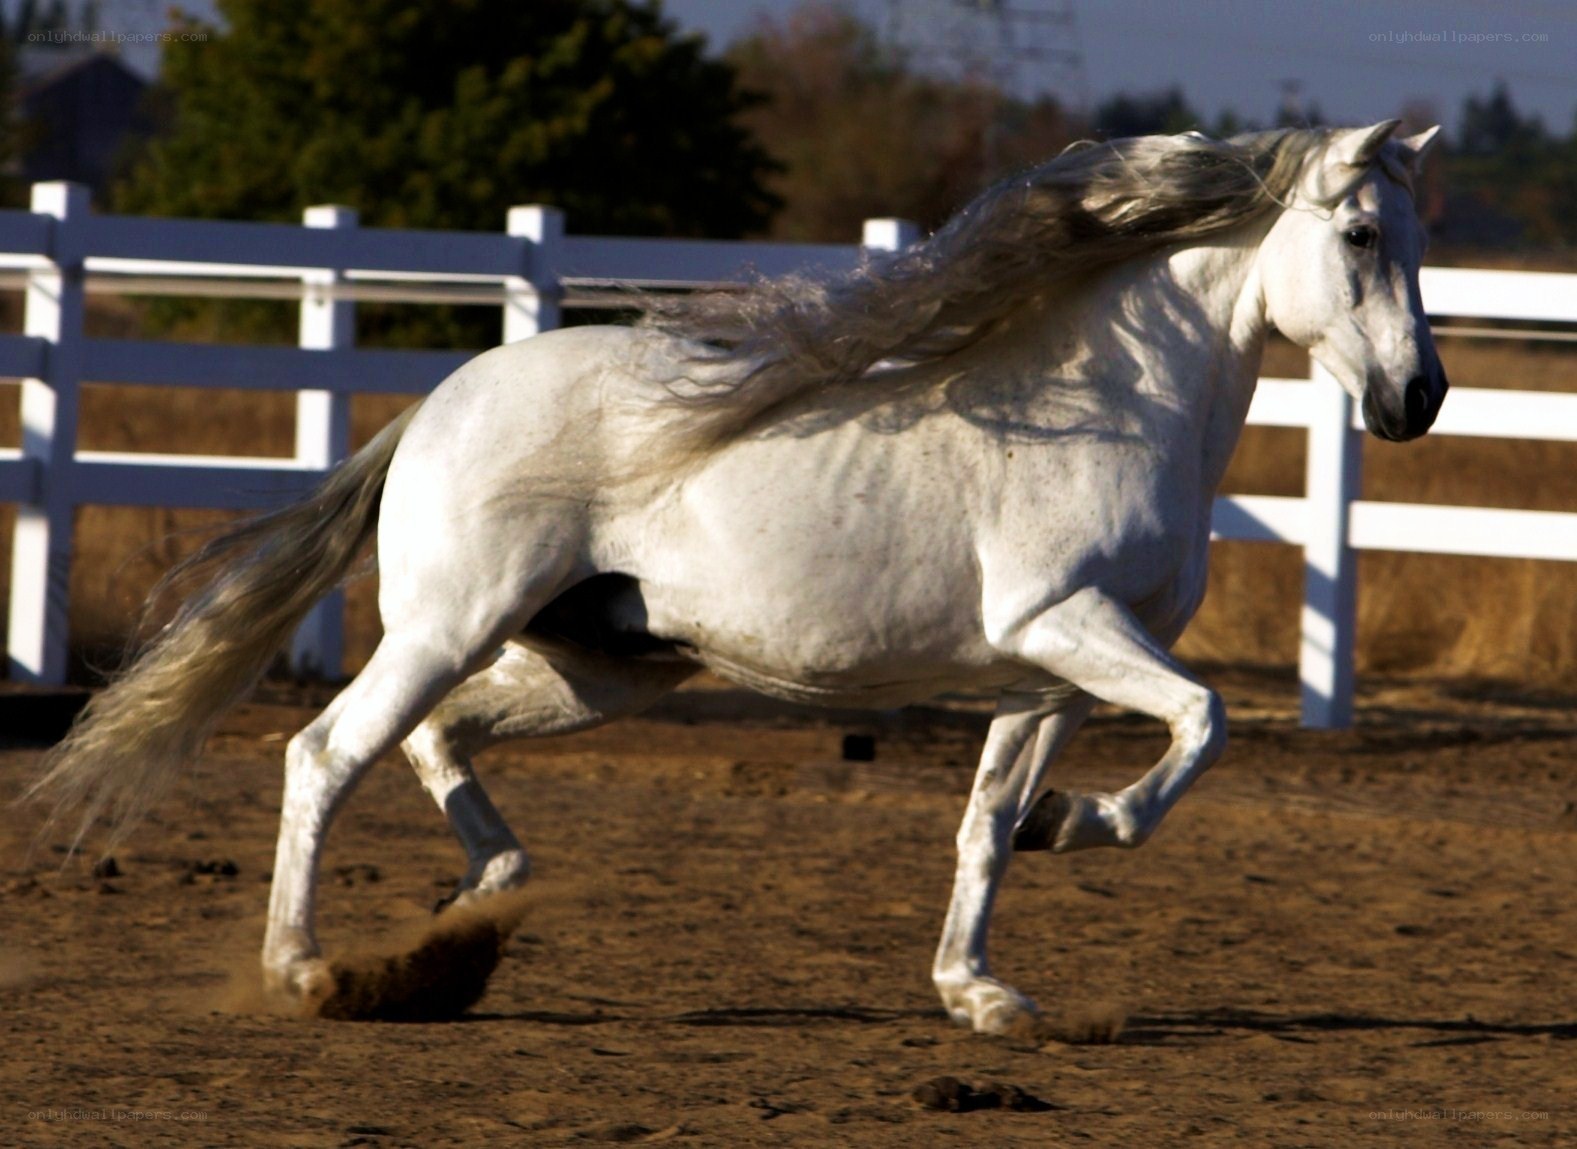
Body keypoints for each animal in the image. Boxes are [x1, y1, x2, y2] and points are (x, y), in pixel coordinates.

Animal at [29, 120, 1446, 1034]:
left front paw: (980, 988)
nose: (1416, 399)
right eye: (1361, 232)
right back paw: (308, 975)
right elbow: (1201, 724)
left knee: (438, 741)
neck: (1118, 405)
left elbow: (983, 826)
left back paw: (472, 915)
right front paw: (1079, 827)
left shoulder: (1043, 677)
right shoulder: (1068, 626)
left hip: (600, 668)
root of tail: (435, 404)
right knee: (327, 753)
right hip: (451, 626)